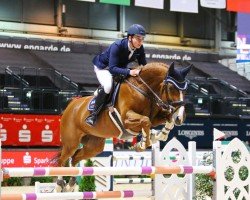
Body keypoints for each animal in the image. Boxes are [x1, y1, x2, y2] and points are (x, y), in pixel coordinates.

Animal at [56, 61, 191, 166]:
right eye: (171, 88)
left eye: (186, 90)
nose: (180, 117)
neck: (143, 89)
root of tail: (71, 105)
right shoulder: (126, 119)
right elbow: (145, 121)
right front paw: (143, 144)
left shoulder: (155, 118)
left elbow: (167, 120)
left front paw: (158, 135)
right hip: (71, 143)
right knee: (62, 160)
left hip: (94, 145)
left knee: (75, 157)